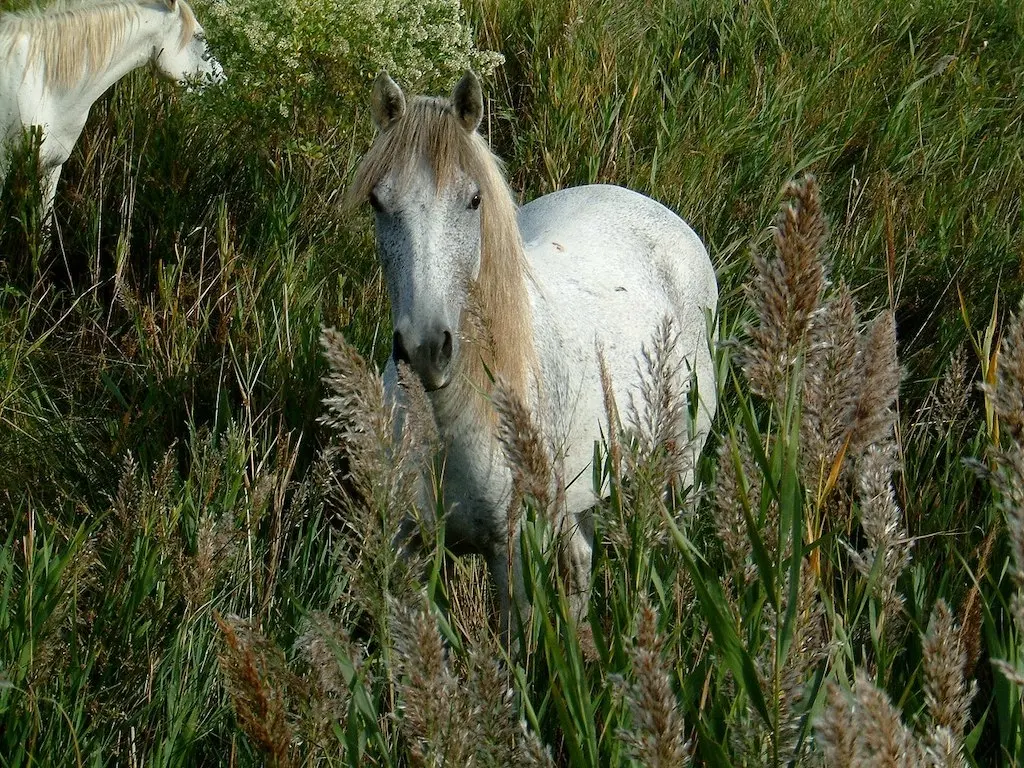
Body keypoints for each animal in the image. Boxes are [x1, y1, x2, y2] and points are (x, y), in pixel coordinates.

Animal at [348, 70, 716, 638]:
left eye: (474, 200)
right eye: (378, 201)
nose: (426, 350)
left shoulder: (513, 554)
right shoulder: (405, 546)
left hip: (683, 462)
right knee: (583, 561)